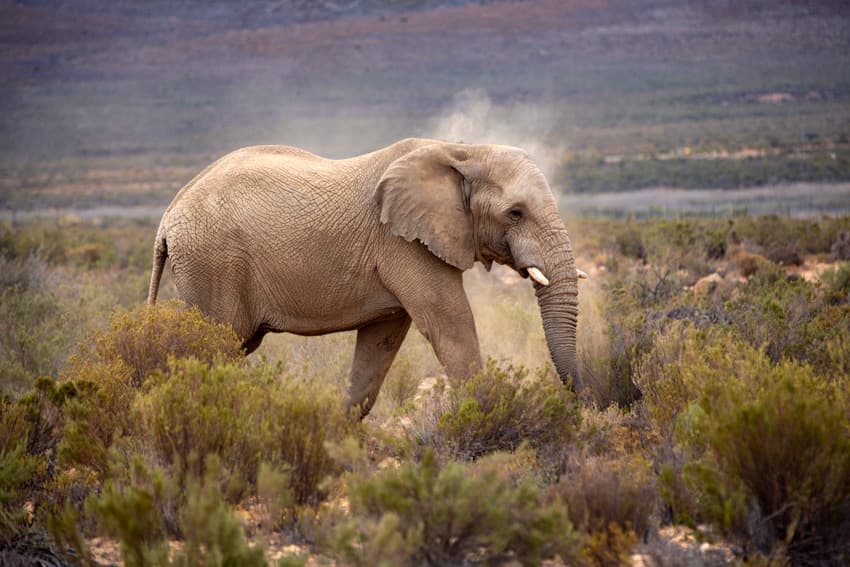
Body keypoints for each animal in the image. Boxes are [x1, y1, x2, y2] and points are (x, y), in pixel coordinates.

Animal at [148, 138, 585, 417]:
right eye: (516, 213)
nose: (581, 402)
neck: (462, 149)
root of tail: (168, 216)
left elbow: (381, 344)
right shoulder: (405, 243)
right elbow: (451, 324)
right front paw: (487, 416)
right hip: (212, 262)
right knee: (217, 346)